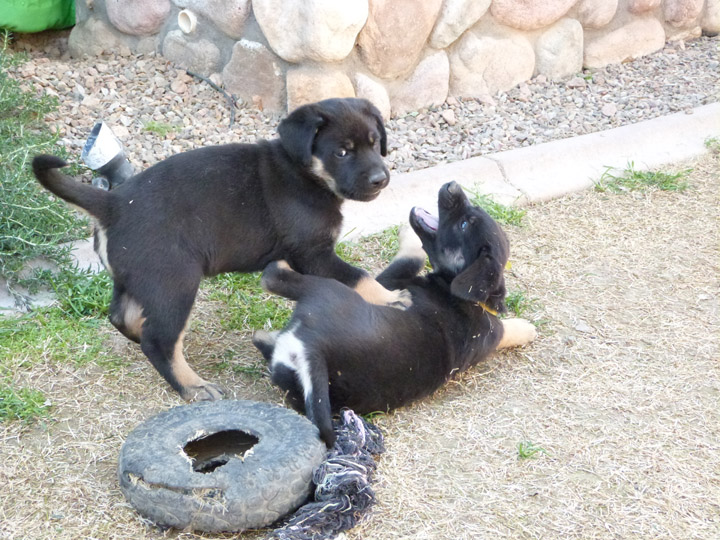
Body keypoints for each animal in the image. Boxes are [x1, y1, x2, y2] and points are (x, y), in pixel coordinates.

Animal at [31, 97, 408, 400]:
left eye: (375, 143)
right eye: (341, 152)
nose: (382, 179)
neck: (304, 172)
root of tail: (113, 204)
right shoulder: (313, 254)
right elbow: (359, 276)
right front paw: (392, 299)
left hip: (140, 277)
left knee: (122, 316)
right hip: (176, 281)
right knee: (160, 340)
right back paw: (193, 386)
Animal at [253, 181, 536, 442]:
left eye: (465, 224)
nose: (452, 185)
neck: (477, 300)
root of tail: (315, 352)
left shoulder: (389, 281)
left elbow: (411, 258)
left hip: (330, 291)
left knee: (272, 278)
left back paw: (279, 265)